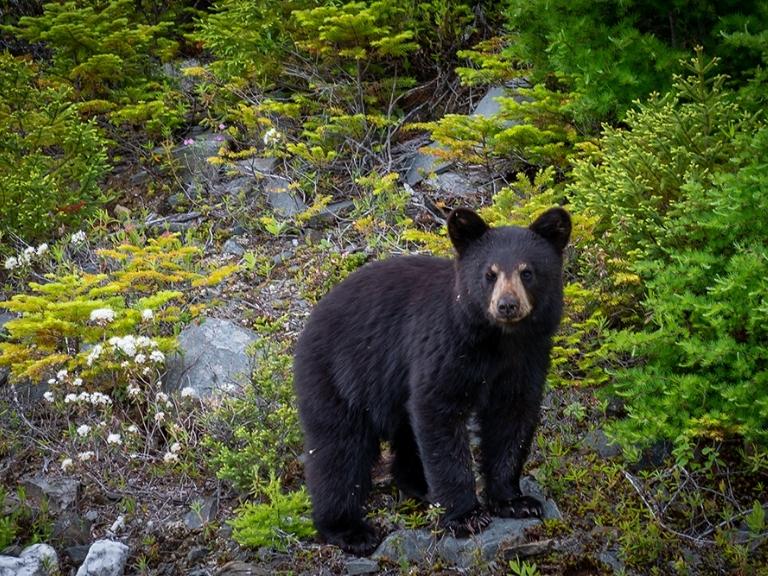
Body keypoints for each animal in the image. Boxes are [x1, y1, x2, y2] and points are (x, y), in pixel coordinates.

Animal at [294, 207, 568, 552]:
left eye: (527, 272)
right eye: (489, 274)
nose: (507, 305)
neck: (498, 341)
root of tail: (311, 319)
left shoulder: (527, 358)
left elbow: (511, 418)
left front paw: (514, 500)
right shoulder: (445, 347)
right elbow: (438, 412)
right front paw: (465, 516)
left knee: (404, 434)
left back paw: (419, 485)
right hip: (338, 377)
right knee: (338, 450)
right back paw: (349, 529)